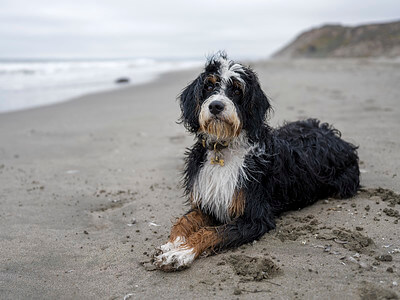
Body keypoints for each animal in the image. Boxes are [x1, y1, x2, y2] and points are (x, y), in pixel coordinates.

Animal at [153, 52, 360, 272]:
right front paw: (172, 243)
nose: (216, 106)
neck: (224, 148)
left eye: (237, 89)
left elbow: (211, 232)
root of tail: (334, 135)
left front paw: (180, 253)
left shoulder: (255, 218)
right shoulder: (208, 202)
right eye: (209, 86)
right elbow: (184, 220)